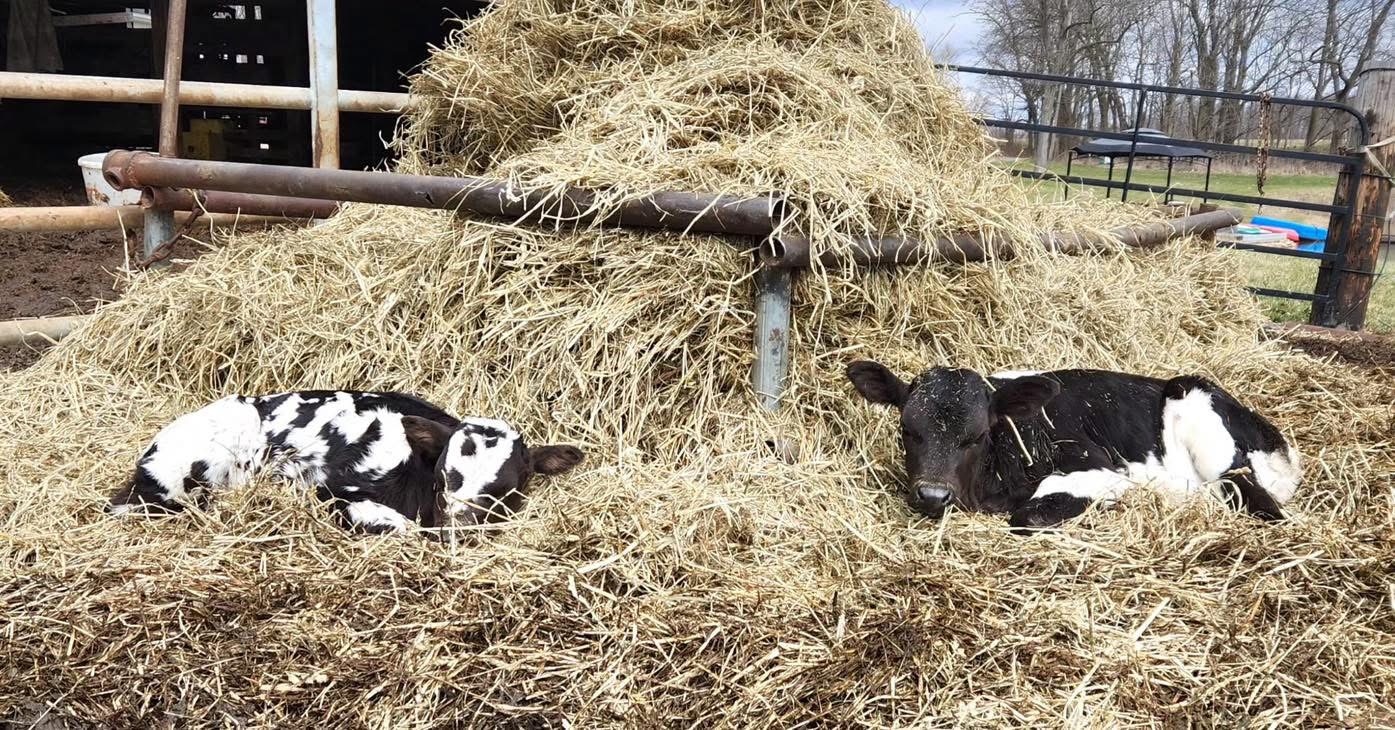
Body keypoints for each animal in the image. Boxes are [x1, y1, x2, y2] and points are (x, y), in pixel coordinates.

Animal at [845, 362, 1301, 530]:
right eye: (907, 429)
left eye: (977, 435)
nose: (932, 495)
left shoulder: (1100, 466)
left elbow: (1028, 513)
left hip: (1200, 416)